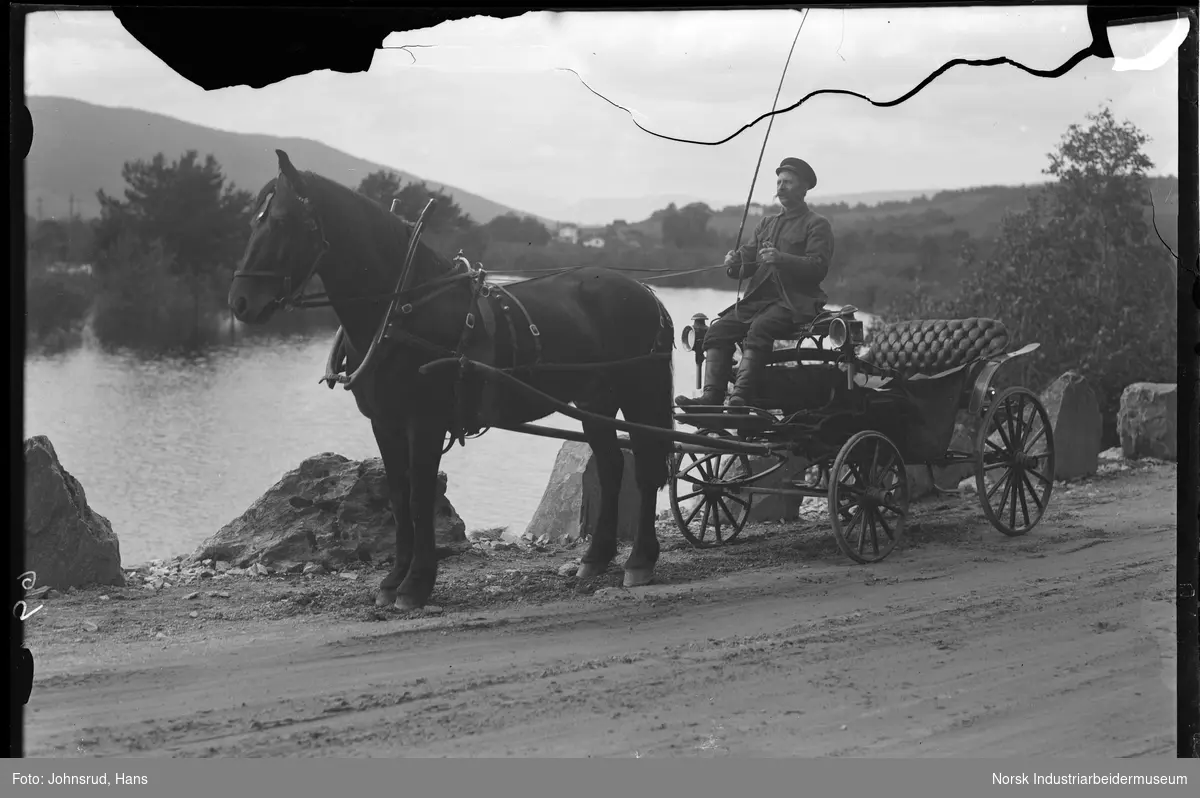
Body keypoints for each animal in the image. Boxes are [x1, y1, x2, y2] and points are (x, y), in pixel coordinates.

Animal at [225, 149, 676, 609]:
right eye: (253, 220)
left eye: (282, 221)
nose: (240, 302)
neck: (405, 307)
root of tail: (646, 292)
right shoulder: (384, 422)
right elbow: (398, 496)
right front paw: (394, 579)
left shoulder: (425, 421)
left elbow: (420, 497)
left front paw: (416, 583)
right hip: (595, 400)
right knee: (612, 466)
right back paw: (597, 557)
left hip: (640, 394)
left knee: (647, 468)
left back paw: (640, 559)